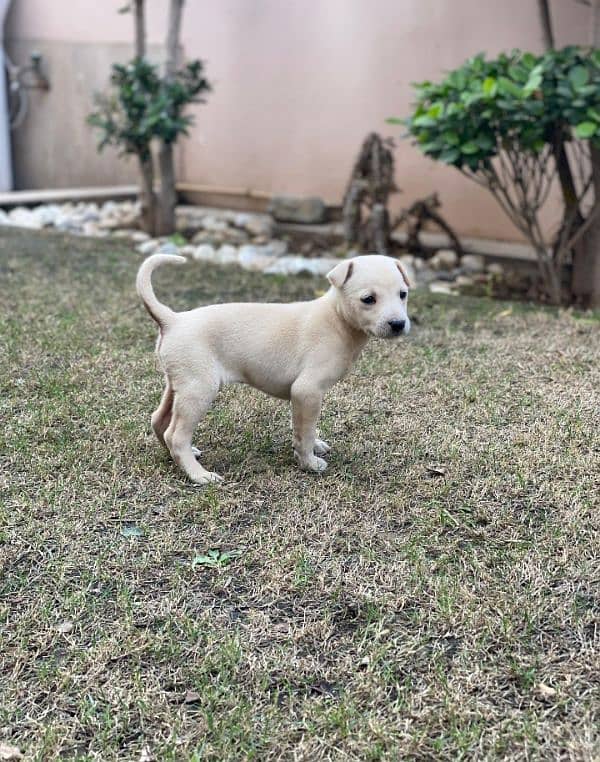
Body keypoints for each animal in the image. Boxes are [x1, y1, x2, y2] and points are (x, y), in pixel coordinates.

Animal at [137, 252, 410, 484]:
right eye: (368, 299)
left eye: (403, 294)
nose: (398, 324)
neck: (336, 317)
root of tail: (173, 319)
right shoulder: (307, 391)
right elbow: (305, 432)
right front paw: (309, 462)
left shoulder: (303, 399)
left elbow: (304, 428)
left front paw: (314, 446)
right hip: (199, 390)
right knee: (176, 435)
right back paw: (198, 474)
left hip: (177, 385)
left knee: (159, 421)